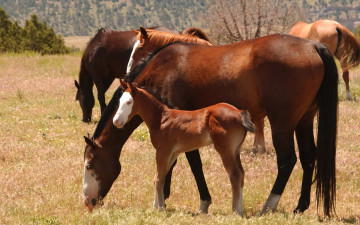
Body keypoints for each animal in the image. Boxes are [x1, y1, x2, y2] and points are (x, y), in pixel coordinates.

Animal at [111, 80, 255, 214]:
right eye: (120, 101)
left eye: (129, 102)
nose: (116, 121)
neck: (161, 119)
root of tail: (239, 113)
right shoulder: (173, 153)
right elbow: (160, 177)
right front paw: (155, 206)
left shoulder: (162, 151)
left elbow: (159, 178)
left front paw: (161, 208)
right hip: (235, 150)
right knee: (241, 174)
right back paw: (240, 209)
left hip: (225, 150)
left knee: (235, 175)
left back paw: (235, 211)